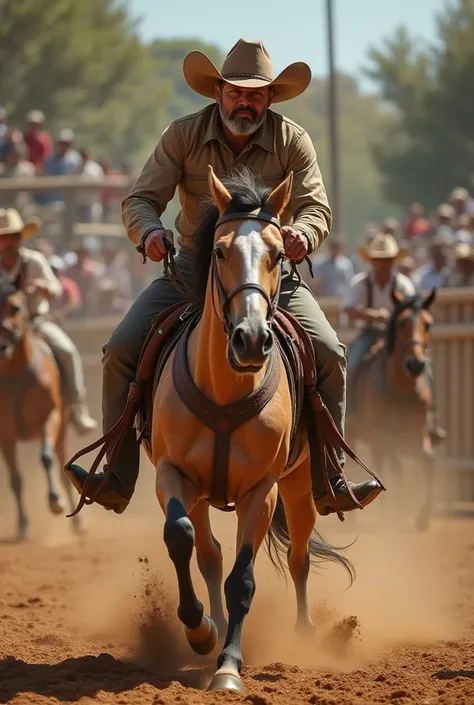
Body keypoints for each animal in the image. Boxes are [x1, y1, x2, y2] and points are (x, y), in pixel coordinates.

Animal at [0, 274, 81, 540]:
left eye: (15, 307)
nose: (2, 346)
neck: (15, 375)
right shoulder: (5, 435)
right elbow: (15, 478)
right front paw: (22, 525)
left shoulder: (50, 417)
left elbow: (46, 458)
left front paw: (55, 501)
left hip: (62, 430)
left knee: (64, 467)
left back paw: (78, 522)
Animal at [146, 168, 354, 696]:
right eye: (220, 251)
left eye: (279, 254)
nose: (252, 339)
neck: (225, 389)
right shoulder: (172, 474)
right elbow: (180, 538)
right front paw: (200, 630)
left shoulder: (264, 490)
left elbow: (243, 579)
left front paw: (228, 667)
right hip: (203, 493)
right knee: (208, 553)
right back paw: (211, 628)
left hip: (300, 485)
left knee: (299, 556)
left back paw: (304, 633)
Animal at [346, 288, 438, 532]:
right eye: (402, 322)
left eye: (428, 324)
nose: (415, 364)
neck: (402, 390)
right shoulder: (383, 433)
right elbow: (397, 465)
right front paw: (396, 513)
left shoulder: (418, 432)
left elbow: (429, 462)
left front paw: (423, 517)